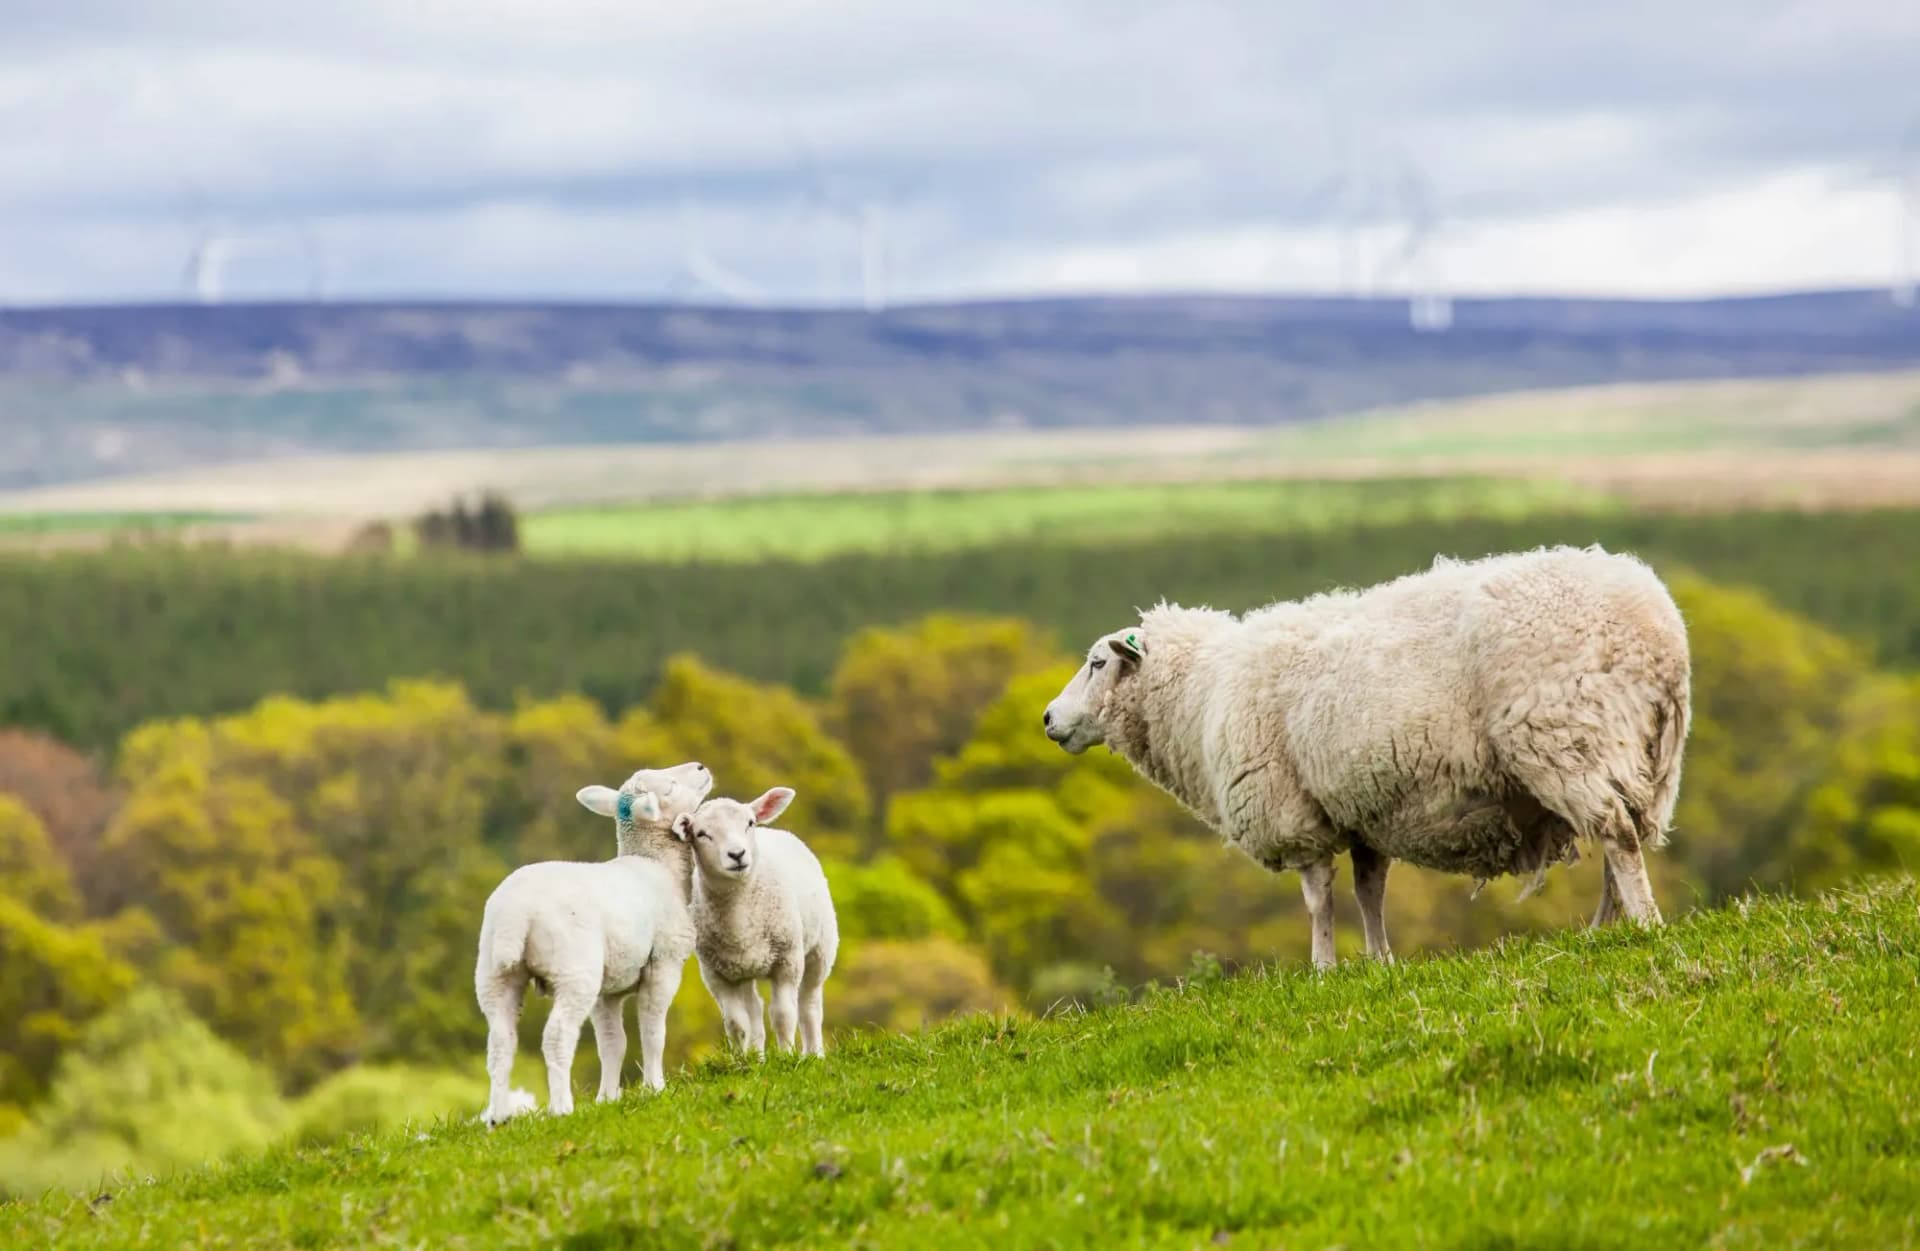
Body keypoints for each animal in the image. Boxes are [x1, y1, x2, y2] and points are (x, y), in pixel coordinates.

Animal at [474, 760, 713, 1124]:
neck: (657, 864)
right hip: (574, 968)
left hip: (494, 972)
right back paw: (561, 1107)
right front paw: (654, 1087)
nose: (700, 766)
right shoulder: (664, 963)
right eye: (670, 787)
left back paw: (499, 1116)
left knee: (500, 1042)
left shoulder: (608, 989)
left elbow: (613, 1042)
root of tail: (516, 913)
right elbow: (652, 1030)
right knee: (557, 1036)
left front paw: (607, 1098)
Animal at [674, 787, 839, 1058]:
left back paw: (814, 1053)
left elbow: (784, 1015)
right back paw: (758, 1057)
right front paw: (742, 1061)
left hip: (820, 949)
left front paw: (787, 1056)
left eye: (749, 823)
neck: (740, 918)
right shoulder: (715, 973)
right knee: (754, 1011)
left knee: (809, 1005)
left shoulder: (787, 961)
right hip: (742, 969)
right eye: (701, 834)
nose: (737, 854)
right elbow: (736, 1023)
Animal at [1041, 545, 1690, 969]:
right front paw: (1380, 963)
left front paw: (1323, 968)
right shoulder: (1360, 813)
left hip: (1564, 734)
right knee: (1623, 832)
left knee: (1616, 834)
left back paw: (1642, 926)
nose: (1047, 719)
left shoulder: (1293, 813)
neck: (1199, 693)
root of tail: (1655, 626)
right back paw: (1606, 929)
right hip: (1629, 746)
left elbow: (1318, 899)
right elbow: (1368, 891)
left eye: (1097, 663)